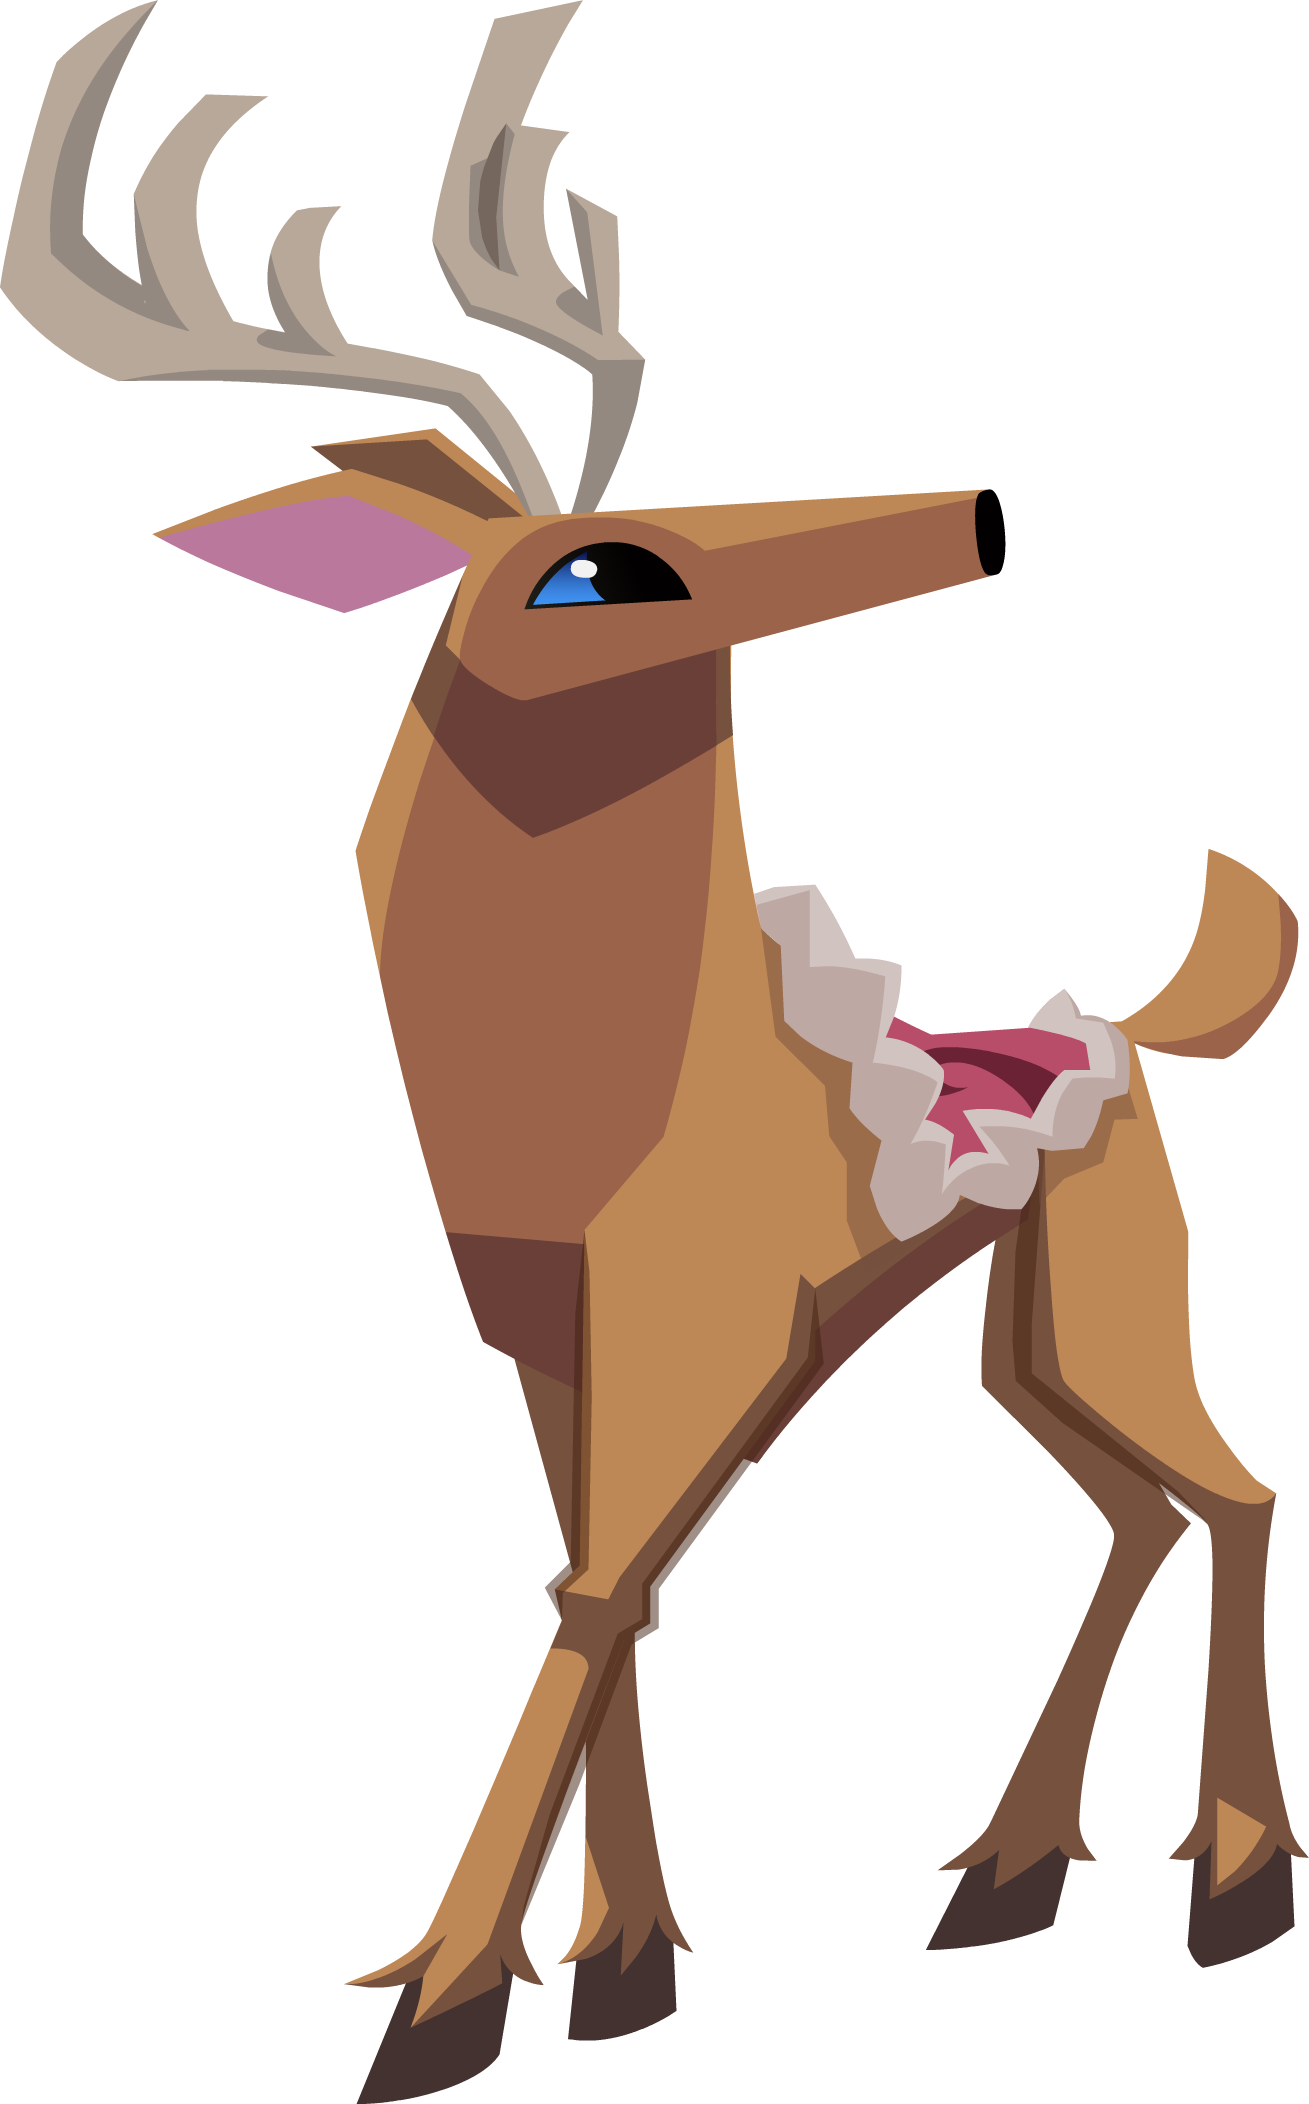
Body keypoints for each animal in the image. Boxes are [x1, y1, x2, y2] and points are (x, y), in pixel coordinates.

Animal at [6, 4, 1301, 2098]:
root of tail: (1126, 1023)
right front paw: (610, 1964)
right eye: (601, 571)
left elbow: (604, 1586)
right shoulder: (553, 1334)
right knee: (1125, 1498)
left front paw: (441, 1999)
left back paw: (1234, 1881)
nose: (952, 517)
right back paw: (1003, 1867)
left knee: (1231, 1487)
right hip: (1019, 1327)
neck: (597, 1102)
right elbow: (605, 1580)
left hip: (1118, 1283)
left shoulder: (704, 1329)